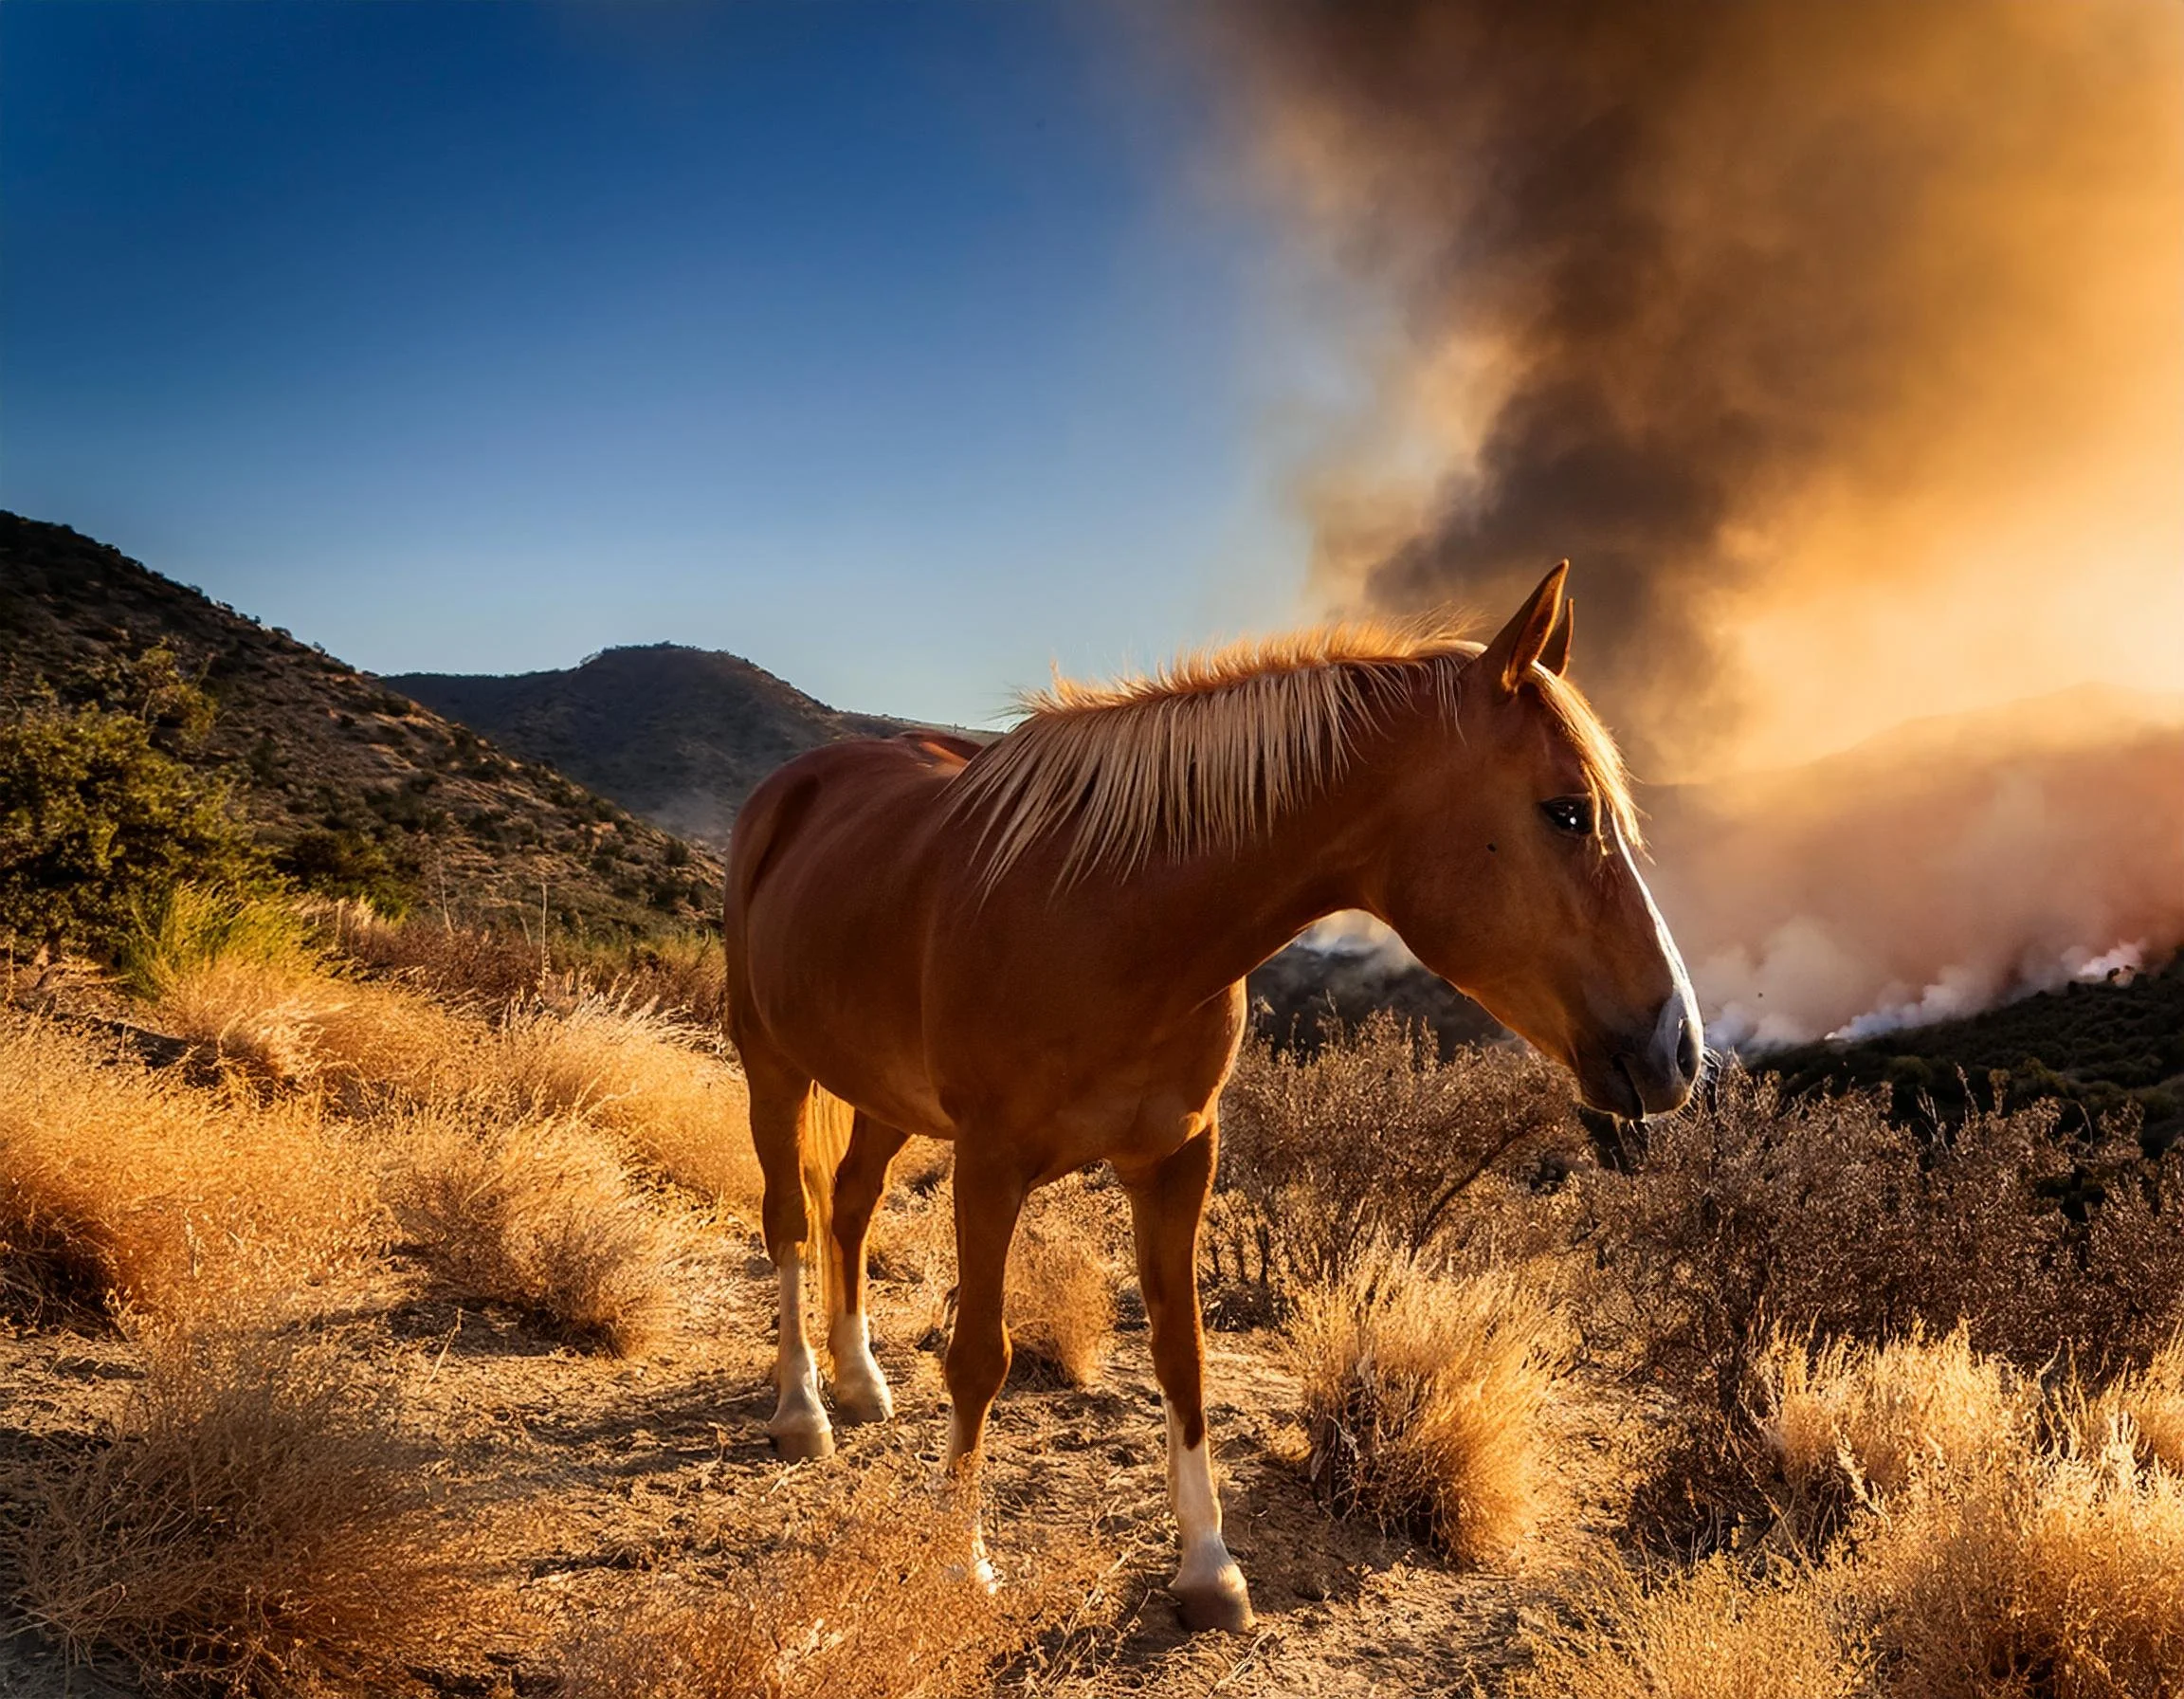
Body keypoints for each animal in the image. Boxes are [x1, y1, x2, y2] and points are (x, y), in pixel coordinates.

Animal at [722, 564, 1699, 1631]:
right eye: (1568, 811)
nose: (1679, 1047)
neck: (1107, 915)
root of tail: (791, 790)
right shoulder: (988, 1162)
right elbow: (979, 1352)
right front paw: (958, 1562)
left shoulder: (1179, 1156)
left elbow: (1182, 1351)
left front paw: (1209, 1568)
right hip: (771, 1064)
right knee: (789, 1220)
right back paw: (803, 1410)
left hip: (885, 1096)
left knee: (850, 1204)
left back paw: (859, 1382)